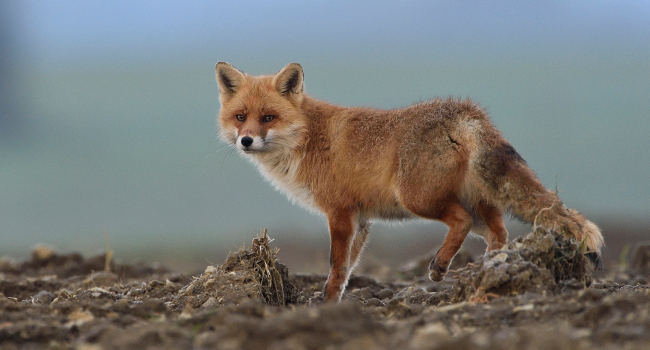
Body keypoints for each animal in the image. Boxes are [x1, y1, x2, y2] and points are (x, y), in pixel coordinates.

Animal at [214, 61, 604, 302]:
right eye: (240, 117)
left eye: (268, 118)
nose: (246, 140)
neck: (307, 137)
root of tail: (467, 112)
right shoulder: (361, 220)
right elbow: (347, 269)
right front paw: (332, 301)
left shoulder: (340, 213)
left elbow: (336, 266)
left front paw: (323, 304)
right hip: (479, 205)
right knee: (499, 232)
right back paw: (490, 270)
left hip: (419, 198)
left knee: (461, 222)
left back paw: (440, 267)